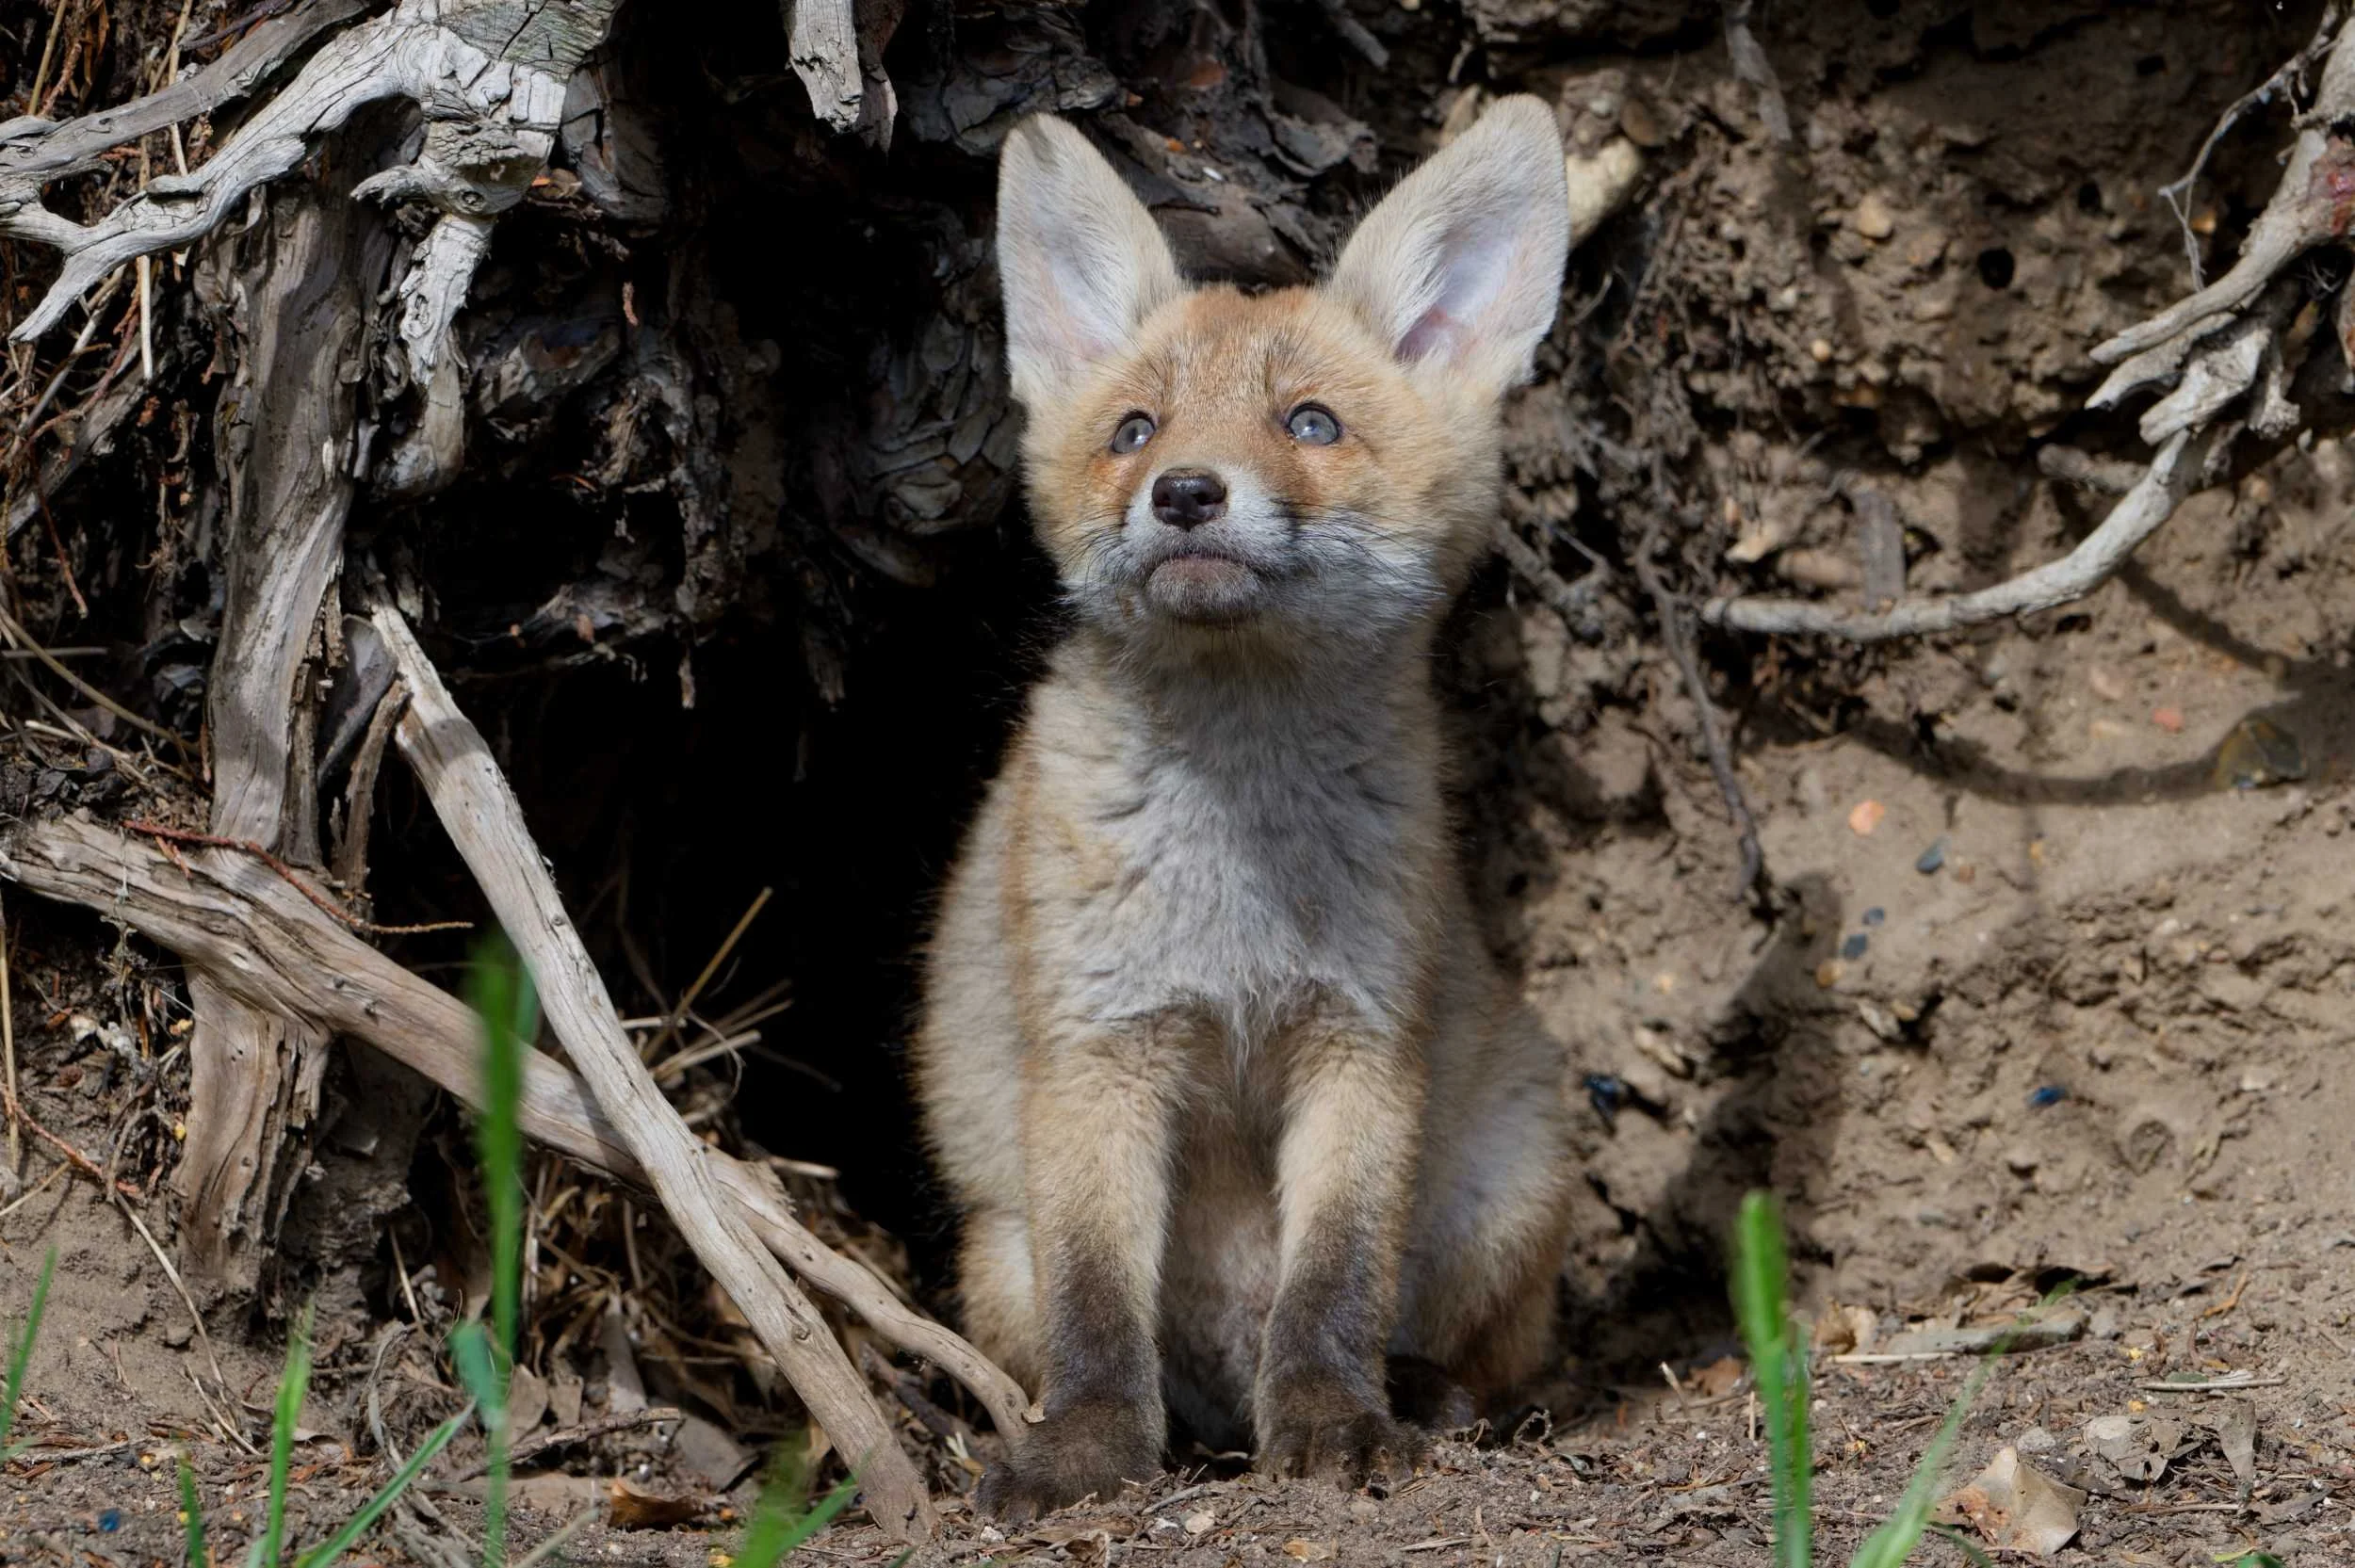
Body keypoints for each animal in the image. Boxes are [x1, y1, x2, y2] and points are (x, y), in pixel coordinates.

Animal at [913, 95, 1580, 1519]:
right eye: (1135, 431)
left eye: (1310, 423)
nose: (1186, 493)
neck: (1236, 874)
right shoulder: (1096, 1052)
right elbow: (1098, 1310)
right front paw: (1087, 1453)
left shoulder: (1360, 1042)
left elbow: (1333, 1281)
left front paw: (1333, 1426)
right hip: (996, 1256)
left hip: (1512, 1181)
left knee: (1466, 1348)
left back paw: (1421, 1395)